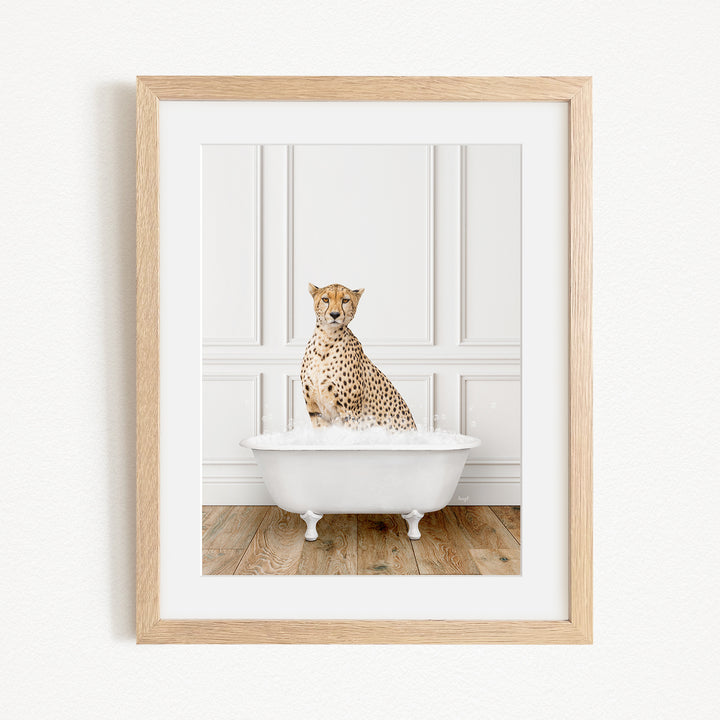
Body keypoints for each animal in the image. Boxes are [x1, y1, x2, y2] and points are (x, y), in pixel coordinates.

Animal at [300, 283, 417, 432]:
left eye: (345, 300)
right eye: (325, 299)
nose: (334, 314)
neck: (326, 339)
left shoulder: (350, 413)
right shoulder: (315, 412)